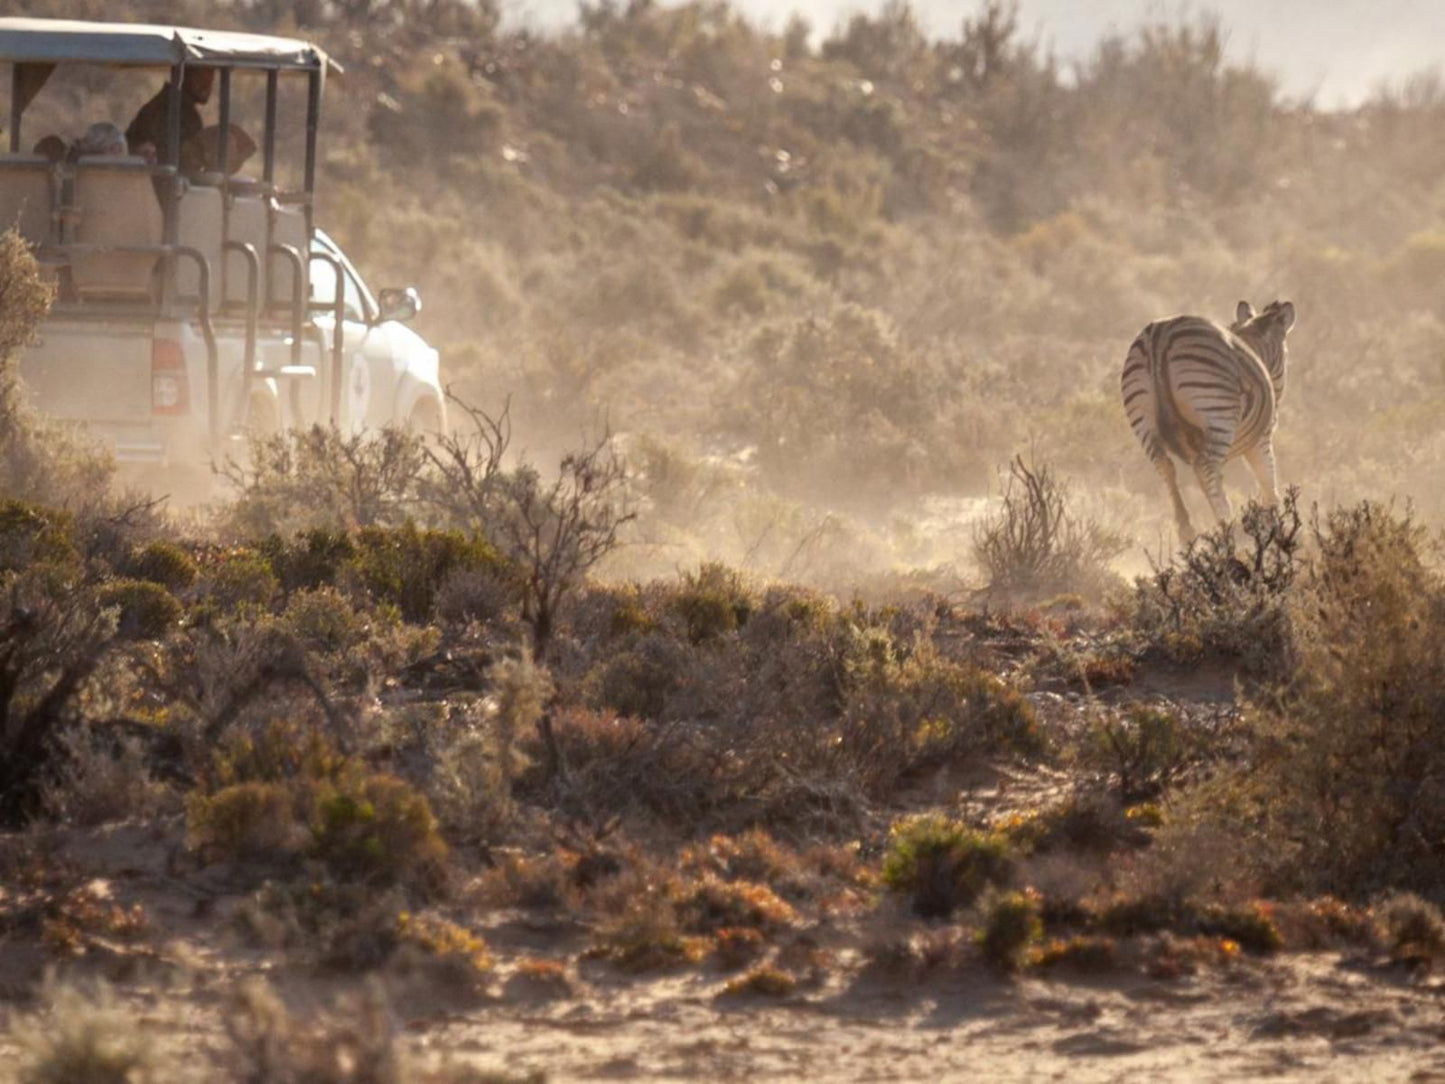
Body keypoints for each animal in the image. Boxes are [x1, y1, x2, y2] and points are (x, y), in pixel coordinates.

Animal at [1115, 302, 1300, 543]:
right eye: (1286, 354)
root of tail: (1159, 335)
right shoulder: (1261, 439)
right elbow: (1268, 483)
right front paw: (1274, 530)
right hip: (1219, 414)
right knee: (1205, 469)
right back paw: (1225, 523)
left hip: (1143, 421)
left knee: (1166, 467)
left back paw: (1186, 530)